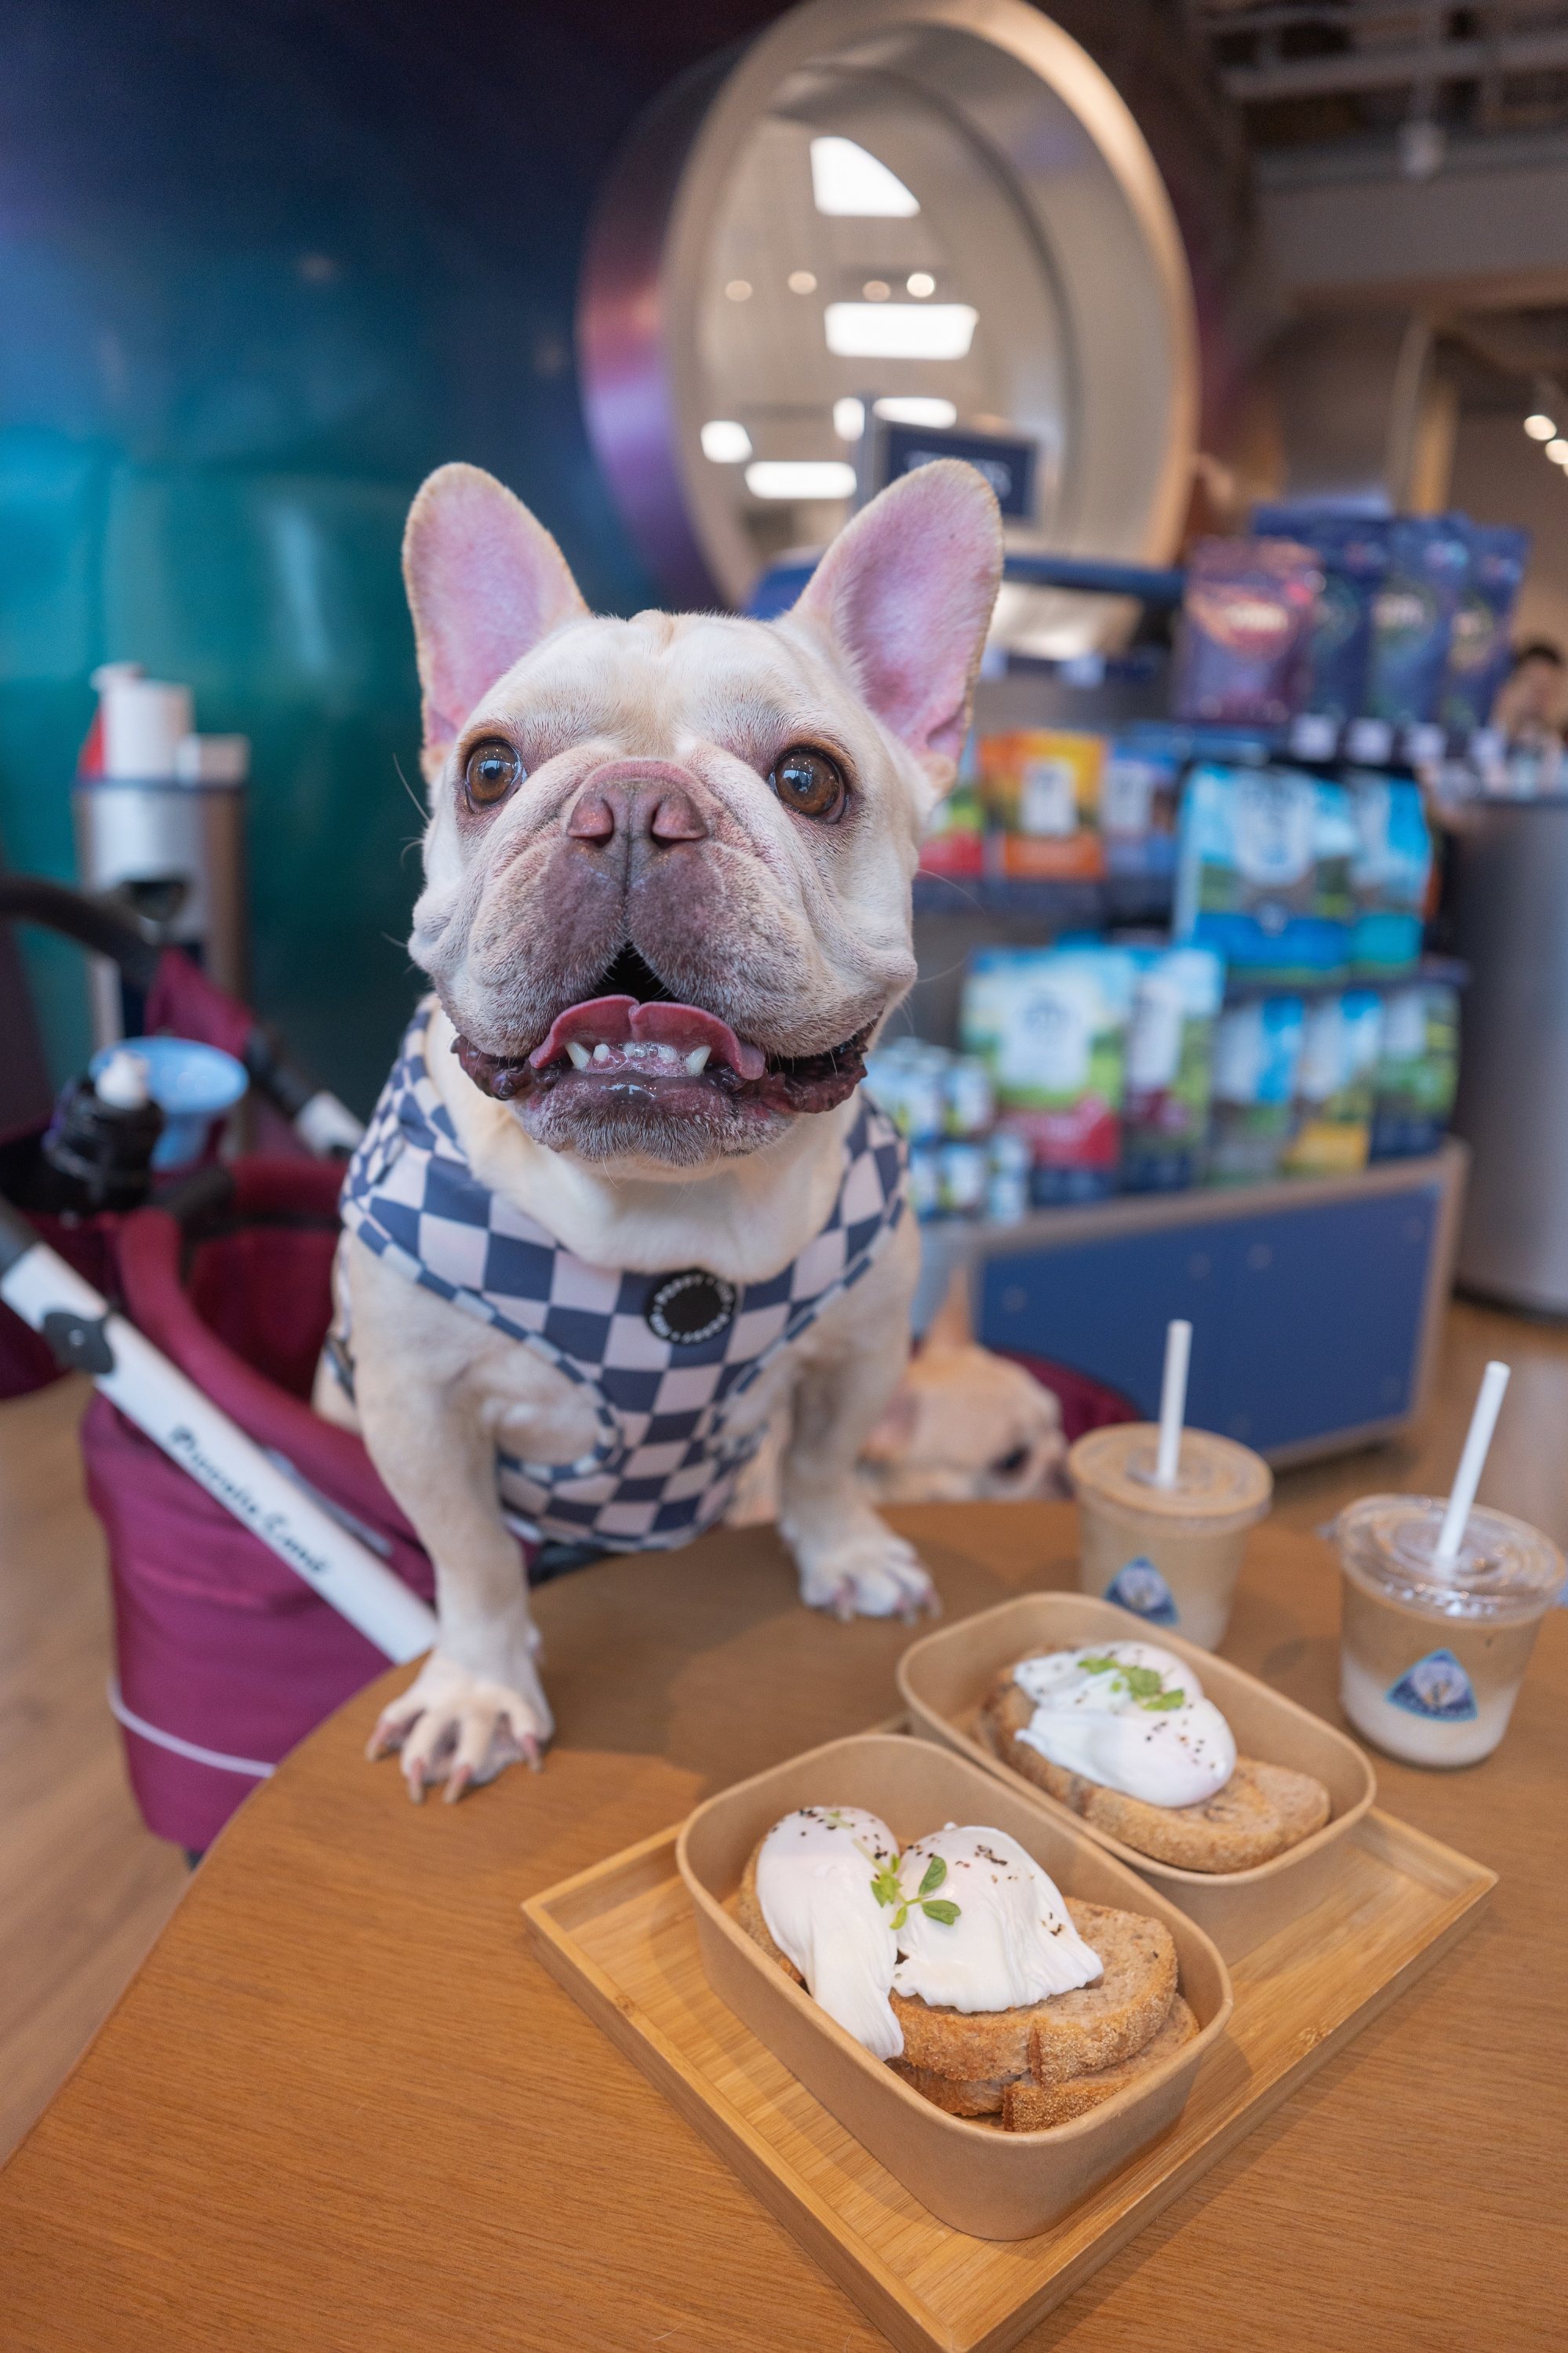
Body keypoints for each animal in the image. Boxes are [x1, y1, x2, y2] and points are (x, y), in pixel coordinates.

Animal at [319, 444, 1006, 1798]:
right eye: (489, 768)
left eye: (808, 779)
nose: (633, 805)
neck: (659, 1214)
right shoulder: (416, 1408)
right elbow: (471, 1556)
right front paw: (477, 1689)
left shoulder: (858, 1345)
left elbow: (821, 1459)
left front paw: (844, 1550)